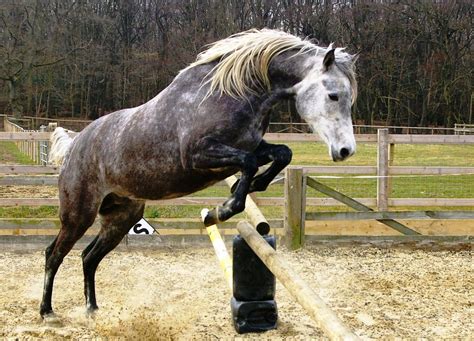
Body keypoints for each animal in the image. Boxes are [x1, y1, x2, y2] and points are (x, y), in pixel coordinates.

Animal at [42, 28, 358, 316]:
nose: (346, 151)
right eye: (333, 95)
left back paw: (92, 309)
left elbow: (281, 154)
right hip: (78, 215)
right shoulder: (198, 155)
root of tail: (74, 146)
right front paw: (222, 210)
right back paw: (47, 312)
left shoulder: (248, 148)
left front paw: (249, 188)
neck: (232, 93)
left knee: (88, 257)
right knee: (53, 254)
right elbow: (248, 163)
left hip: (120, 218)